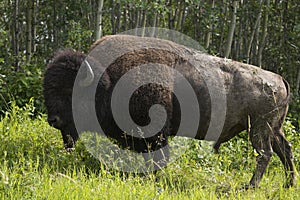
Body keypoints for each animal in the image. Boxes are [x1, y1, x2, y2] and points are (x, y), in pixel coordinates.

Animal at [43, 34, 296, 188]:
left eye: (70, 91)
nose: (53, 120)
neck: (106, 79)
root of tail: (279, 79)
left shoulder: (155, 132)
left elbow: (158, 155)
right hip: (274, 129)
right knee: (285, 150)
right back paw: (289, 184)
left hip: (259, 128)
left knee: (265, 154)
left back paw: (250, 186)